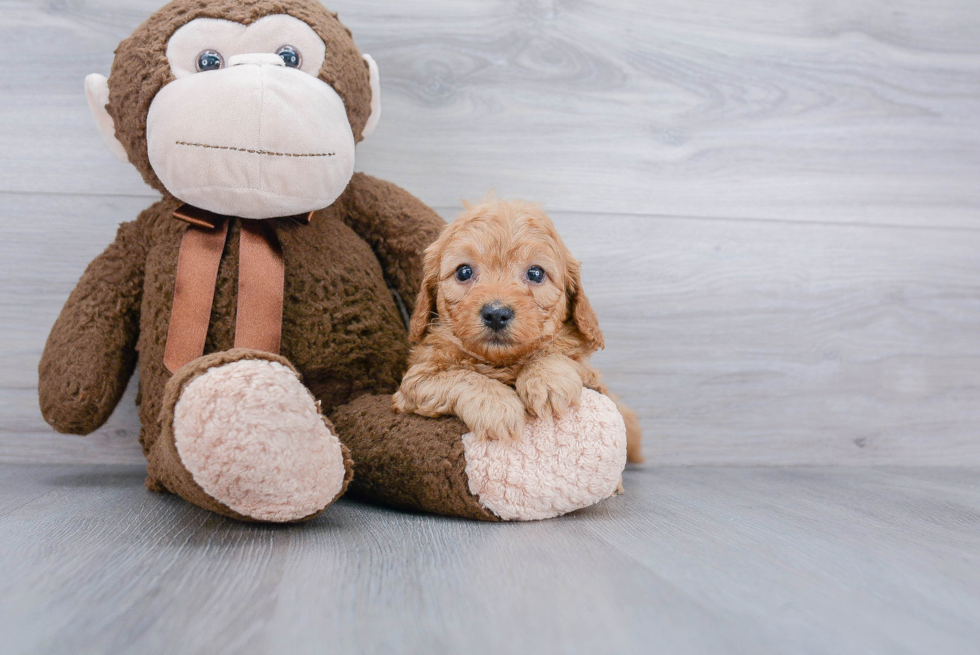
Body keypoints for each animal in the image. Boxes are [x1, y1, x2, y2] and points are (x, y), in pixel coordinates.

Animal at [390, 197, 644, 464]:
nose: (496, 314)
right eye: (463, 272)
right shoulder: (414, 382)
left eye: (535, 273)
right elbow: (458, 376)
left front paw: (547, 380)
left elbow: (561, 356)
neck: (501, 364)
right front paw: (497, 406)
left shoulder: (590, 375)